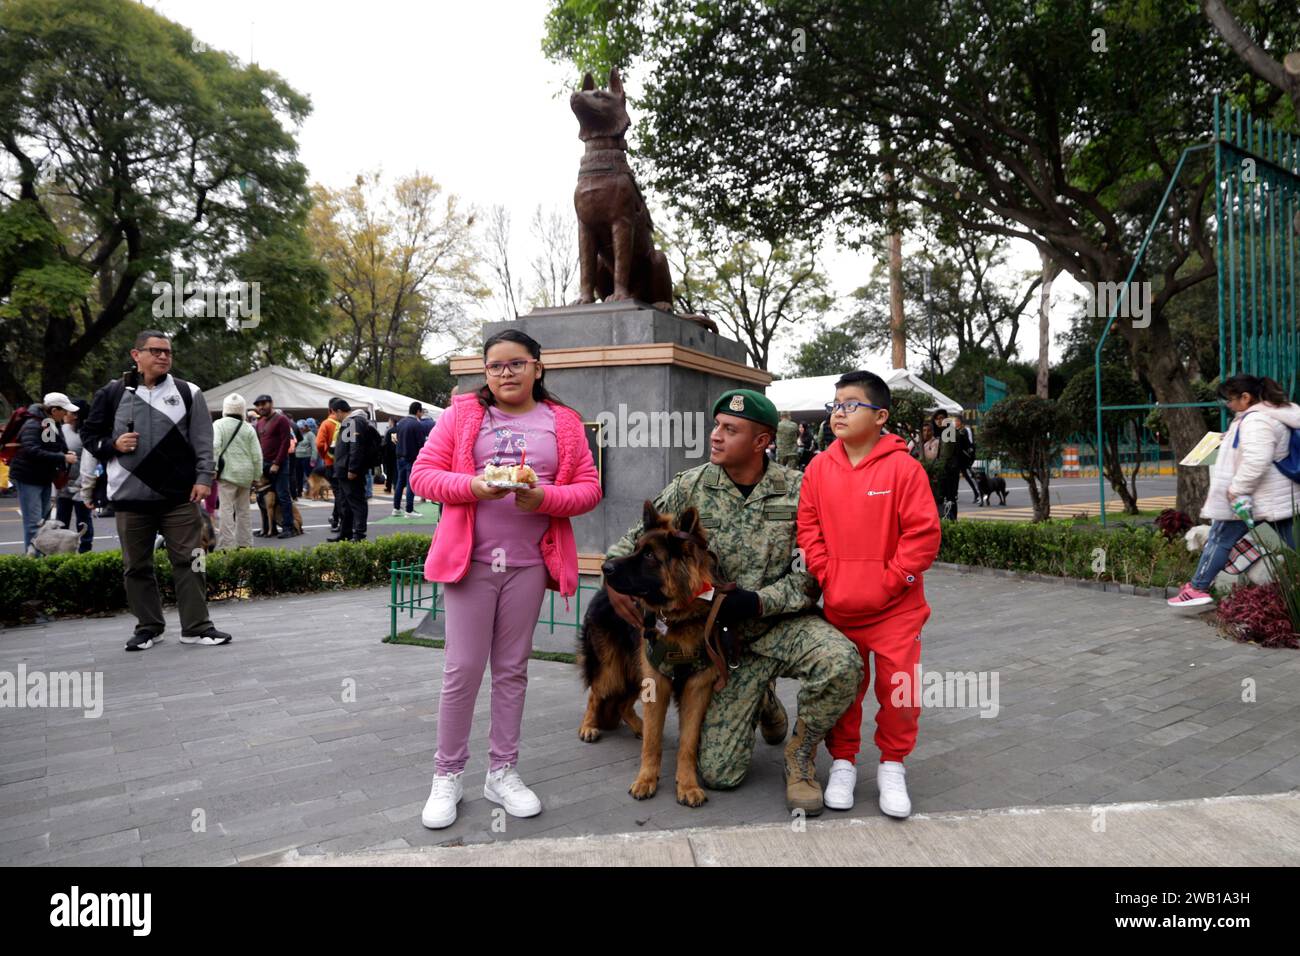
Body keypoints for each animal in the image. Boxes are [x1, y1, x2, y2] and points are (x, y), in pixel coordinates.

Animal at [577, 504, 738, 811]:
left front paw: (687, 785)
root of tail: (601, 592)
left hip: (634, 672)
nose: (605, 568)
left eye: (650, 556)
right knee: (596, 693)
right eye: (636, 548)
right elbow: (652, 744)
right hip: (615, 669)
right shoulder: (657, 680)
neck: (679, 615)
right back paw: (589, 726)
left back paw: (637, 726)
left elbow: (688, 743)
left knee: (621, 705)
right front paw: (646, 780)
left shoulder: (696, 688)